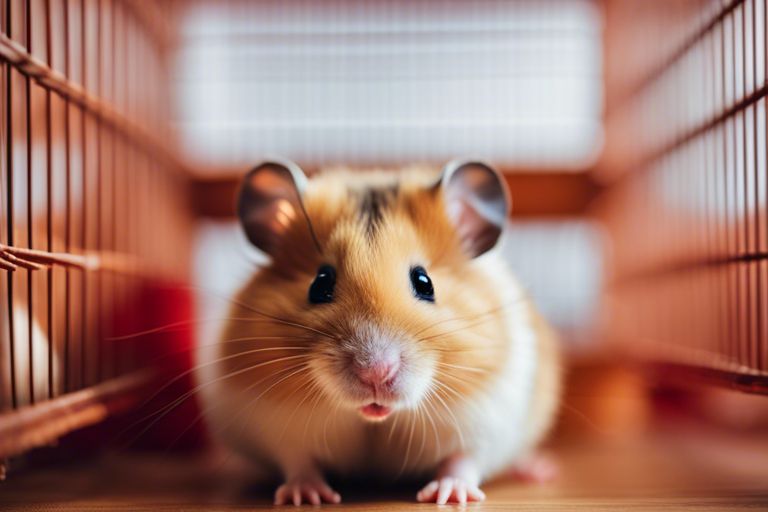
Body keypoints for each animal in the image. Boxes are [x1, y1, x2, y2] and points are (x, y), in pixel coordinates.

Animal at [198, 159, 561, 505]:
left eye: (425, 282)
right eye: (319, 284)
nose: (376, 372)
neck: (376, 421)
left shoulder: (485, 423)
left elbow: (463, 461)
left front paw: (447, 496)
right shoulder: (277, 427)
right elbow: (298, 461)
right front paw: (305, 497)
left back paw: (538, 469)